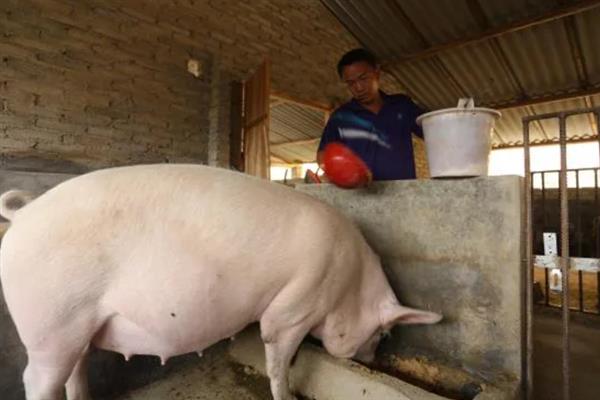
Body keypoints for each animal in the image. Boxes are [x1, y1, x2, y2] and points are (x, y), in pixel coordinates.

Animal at [0, 164, 440, 400]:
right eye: (383, 334)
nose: (373, 361)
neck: (348, 282)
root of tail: (24, 214)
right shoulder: (293, 308)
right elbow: (277, 360)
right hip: (49, 323)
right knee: (37, 380)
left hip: (74, 328)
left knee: (75, 373)